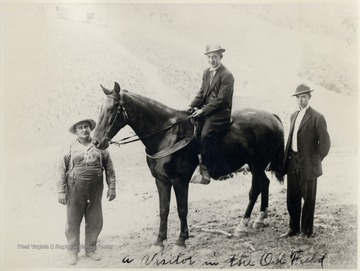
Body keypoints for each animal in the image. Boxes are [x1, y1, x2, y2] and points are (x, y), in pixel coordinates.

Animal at [92, 82, 284, 254]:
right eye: (100, 108)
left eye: (111, 109)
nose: (96, 142)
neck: (167, 134)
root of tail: (272, 116)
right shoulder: (161, 181)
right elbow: (163, 210)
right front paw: (159, 242)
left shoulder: (180, 181)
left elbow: (182, 209)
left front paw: (181, 241)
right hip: (255, 165)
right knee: (265, 183)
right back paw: (260, 218)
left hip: (257, 164)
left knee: (255, 189)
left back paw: (242, 225)